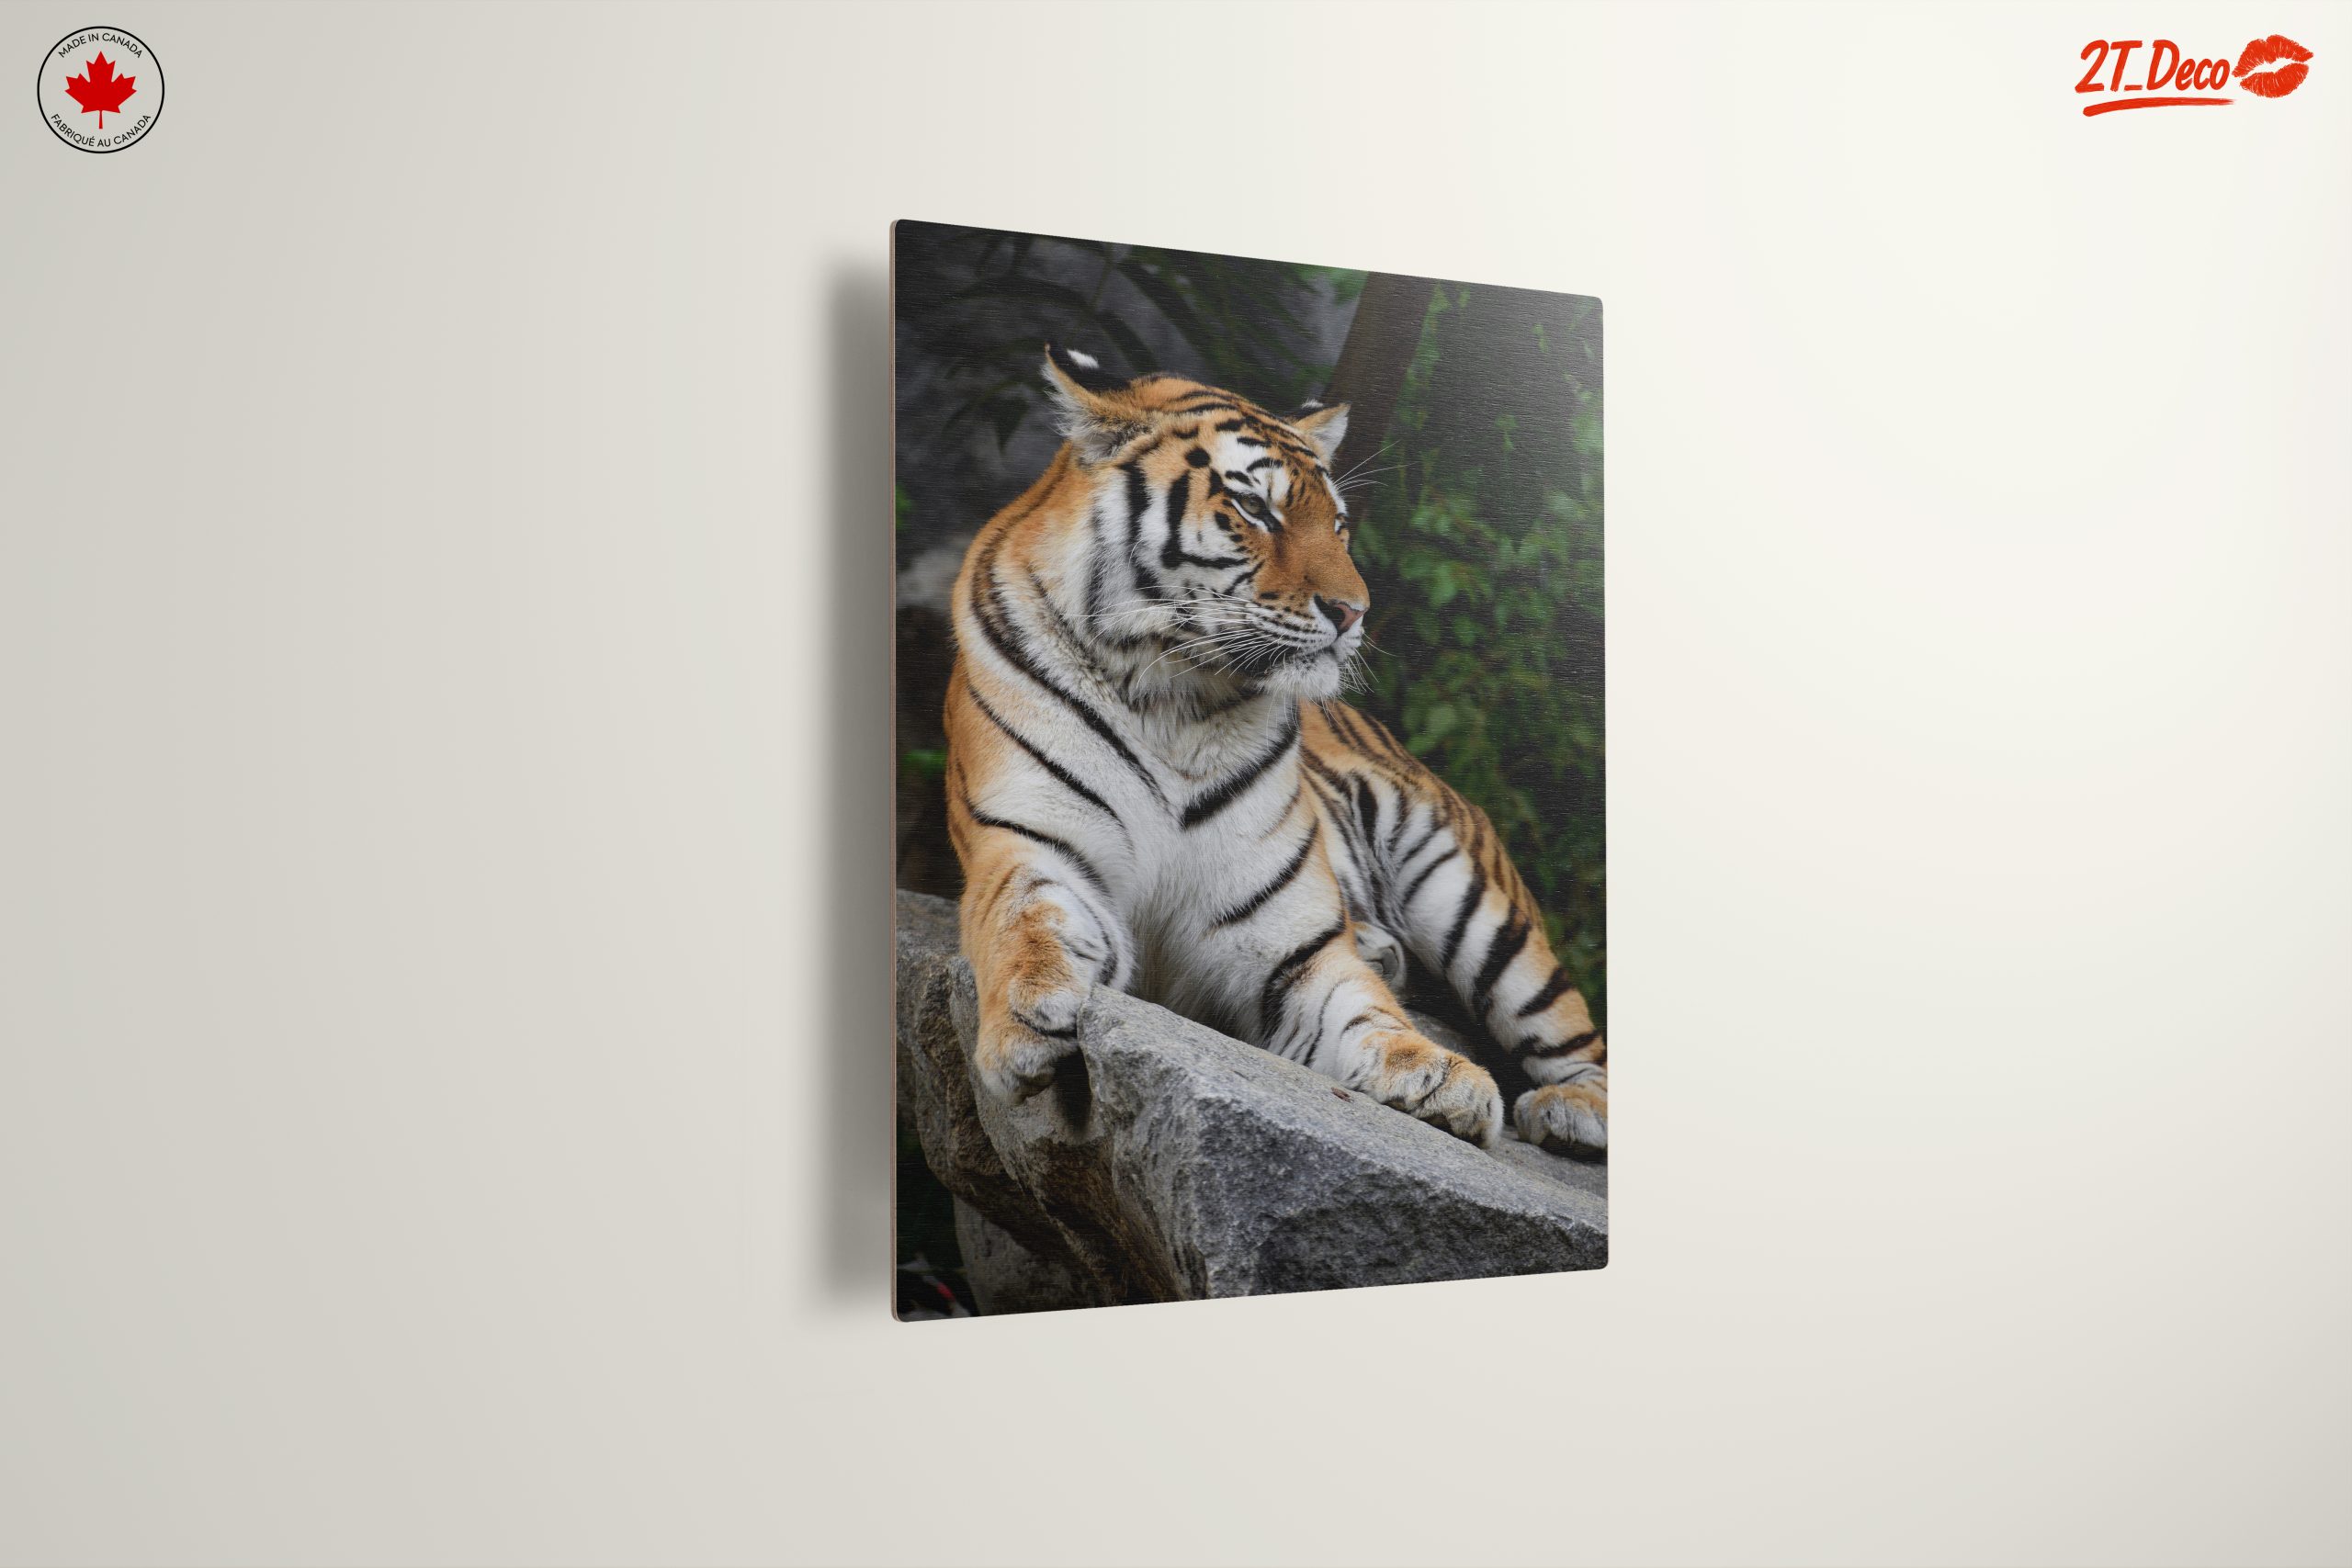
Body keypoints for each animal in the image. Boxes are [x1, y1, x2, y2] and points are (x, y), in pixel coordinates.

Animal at [942, 346, 1606, 1156]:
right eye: (1256, 509)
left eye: (1340, 524)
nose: (1355, 612)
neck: (1172, 697)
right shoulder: (1029, 844)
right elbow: (1026, 921)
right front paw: (1029, 1018)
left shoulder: (1287, 943)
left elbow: (1363, 1009)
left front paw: (1440, 1076)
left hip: (1475, 897)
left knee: (1575, 1035)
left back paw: (1575, 1110)